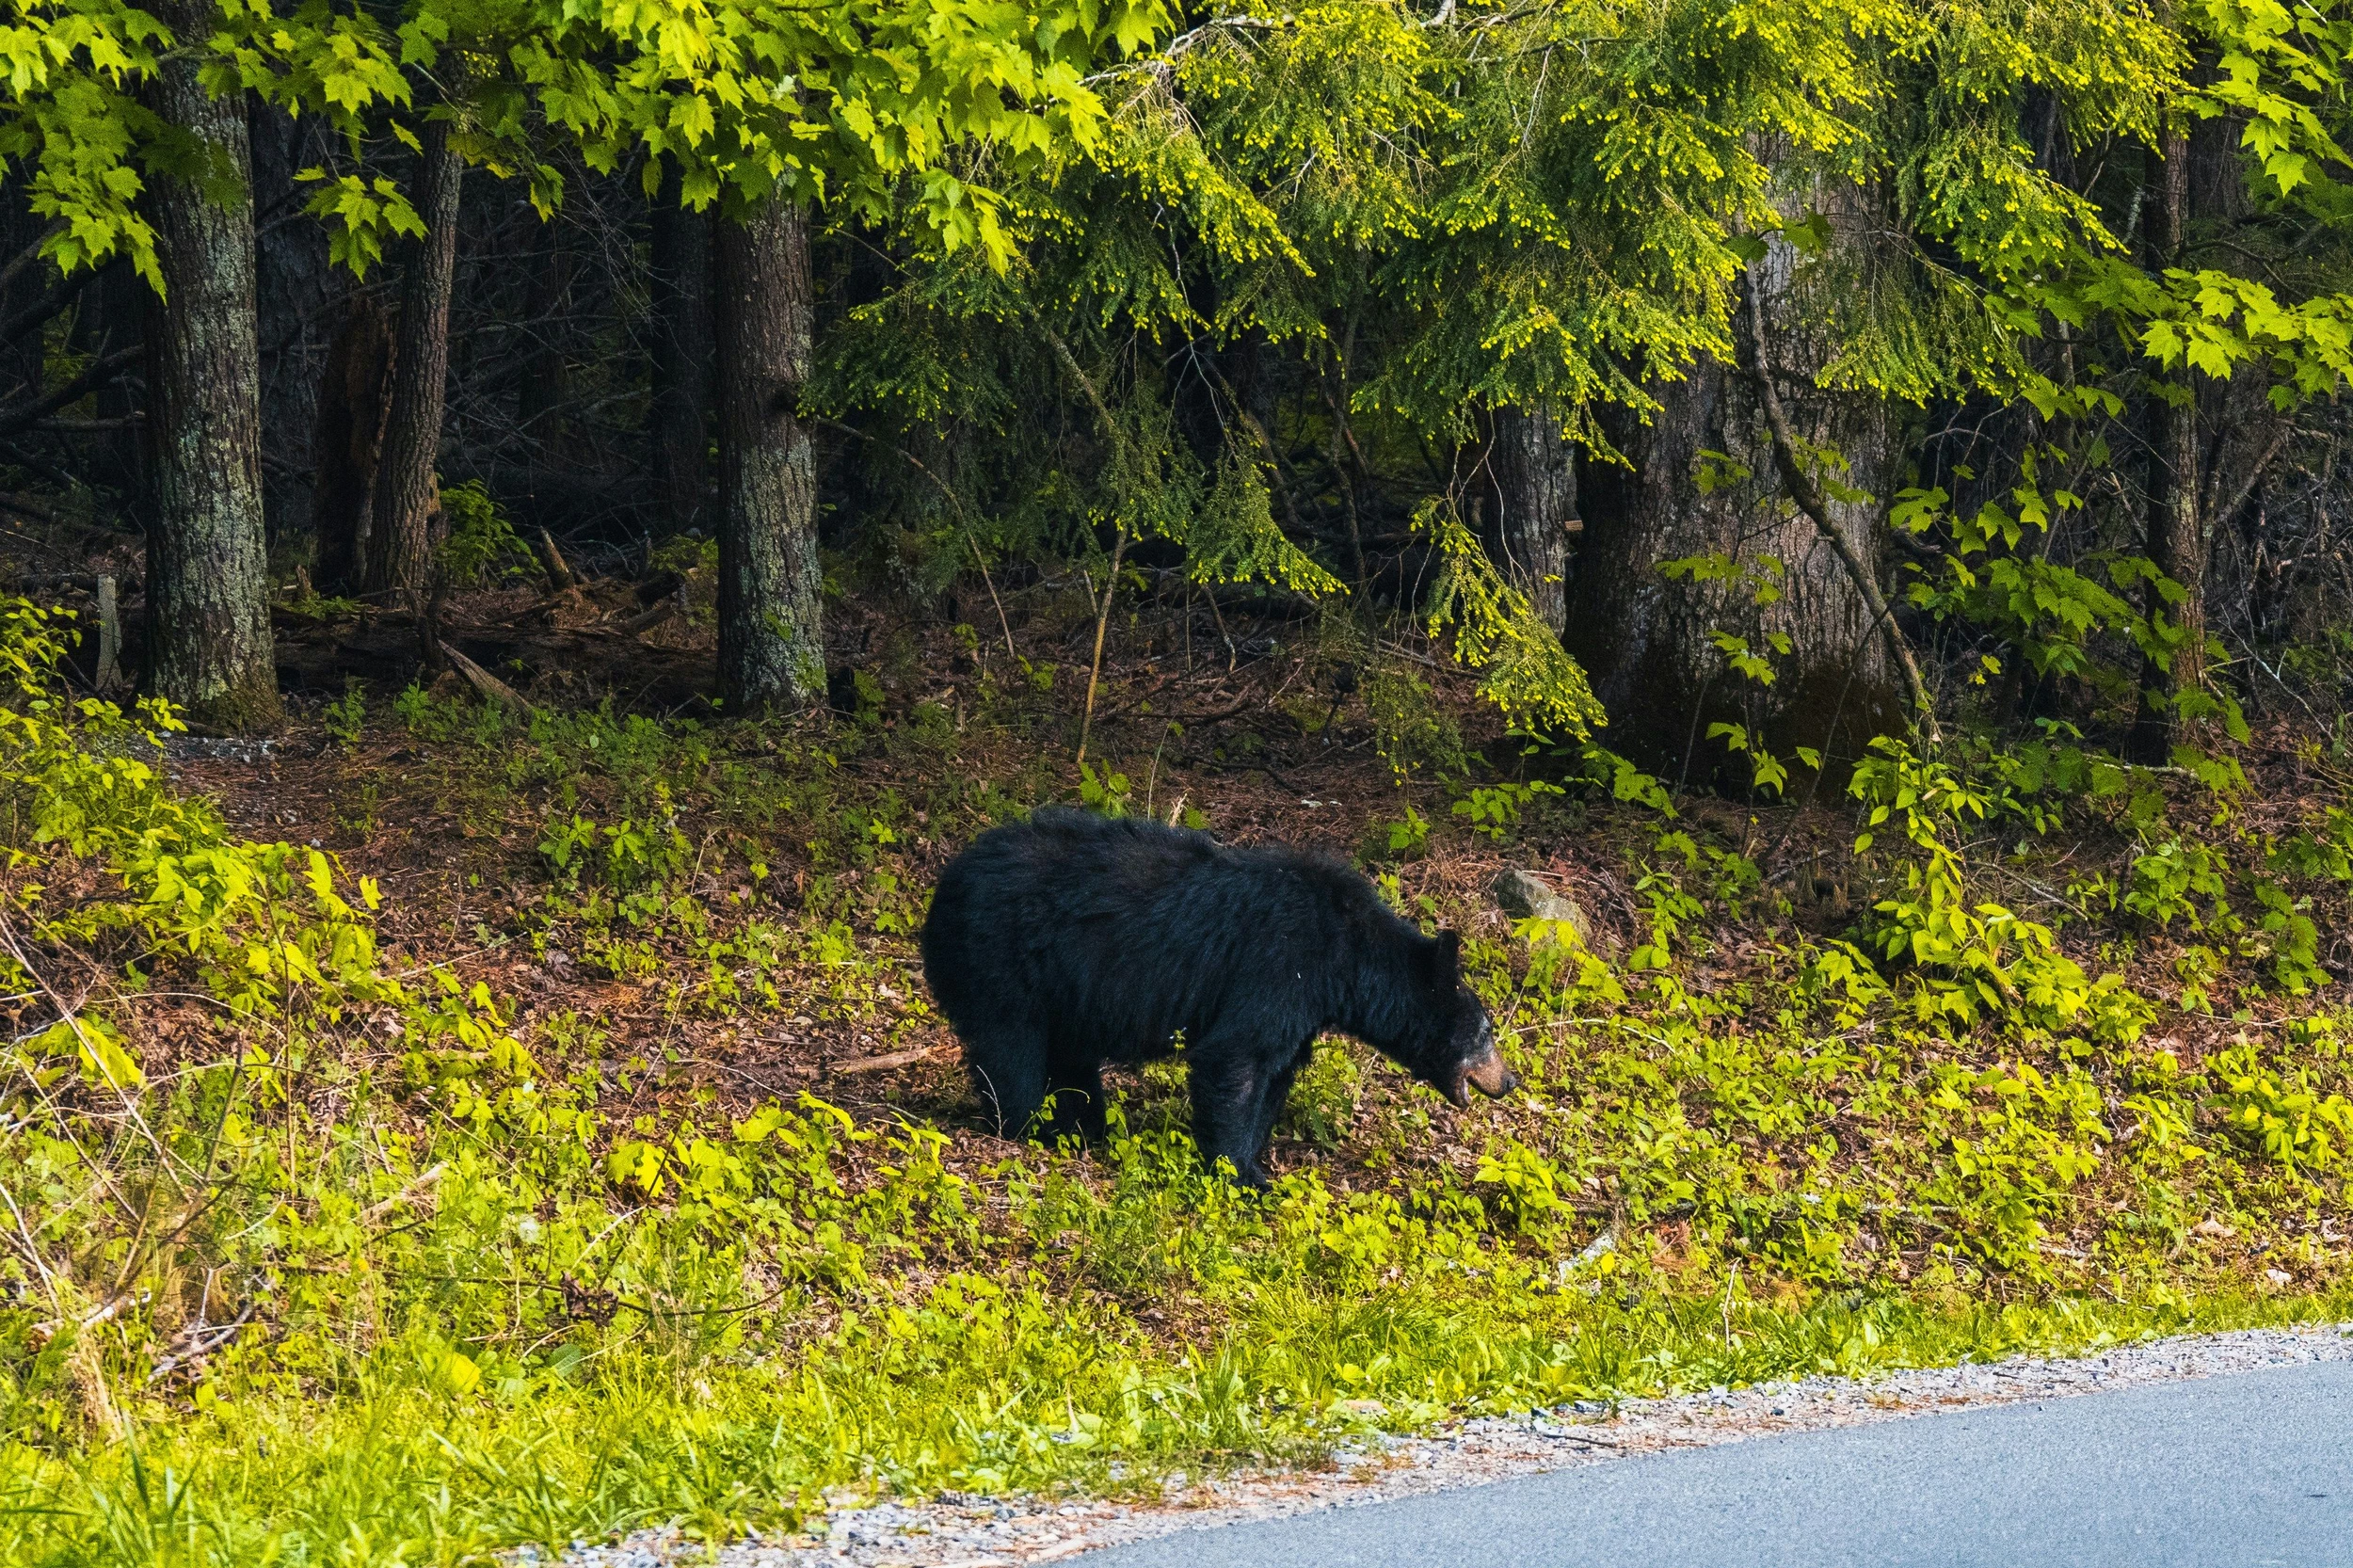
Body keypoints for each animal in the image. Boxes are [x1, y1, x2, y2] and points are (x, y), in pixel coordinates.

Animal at [919, 807, 1516, 1186]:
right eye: (1486, 1031)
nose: (1510, 1080)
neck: (1347, 956)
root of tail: (945, 883)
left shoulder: (1304, 1006)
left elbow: (1274, 1074)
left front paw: (1253, 1160)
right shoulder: (1280, 965)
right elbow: (1236, 1057)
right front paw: (1241, 1174)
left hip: (1063, 985)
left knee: (1070, 1057)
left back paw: (1086, 1128)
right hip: (999, 957)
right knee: (1010, 1047)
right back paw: (1030, 1128)